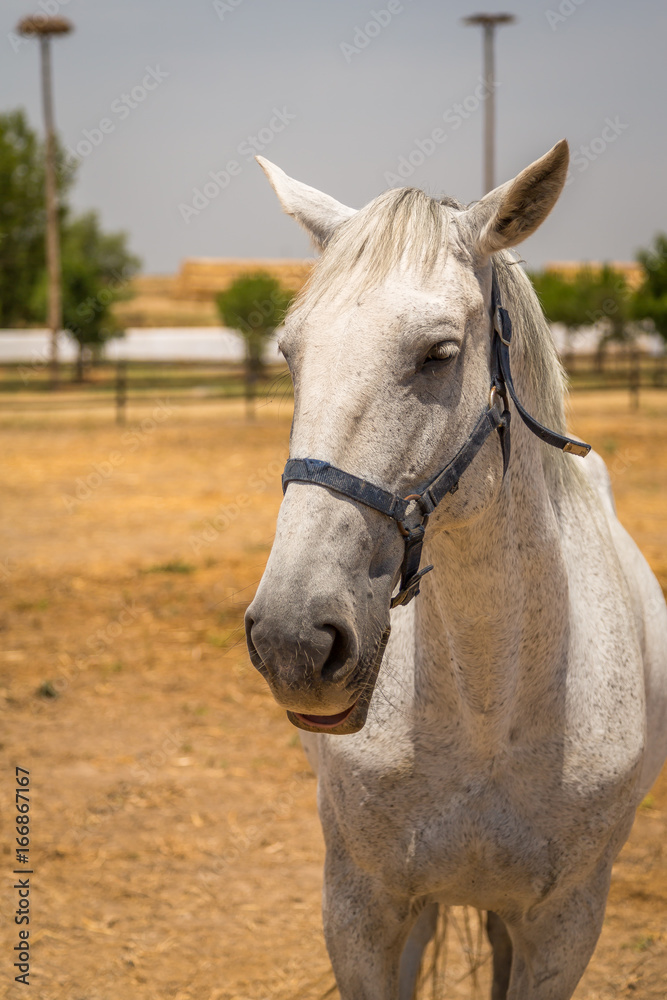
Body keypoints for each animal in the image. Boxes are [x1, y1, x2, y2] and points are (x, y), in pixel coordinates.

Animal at [244, 141, 667, 1000]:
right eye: (290, 353)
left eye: (437, 354)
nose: (291, 640)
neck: (486, 710)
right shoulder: (362, 911)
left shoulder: (564, 926)